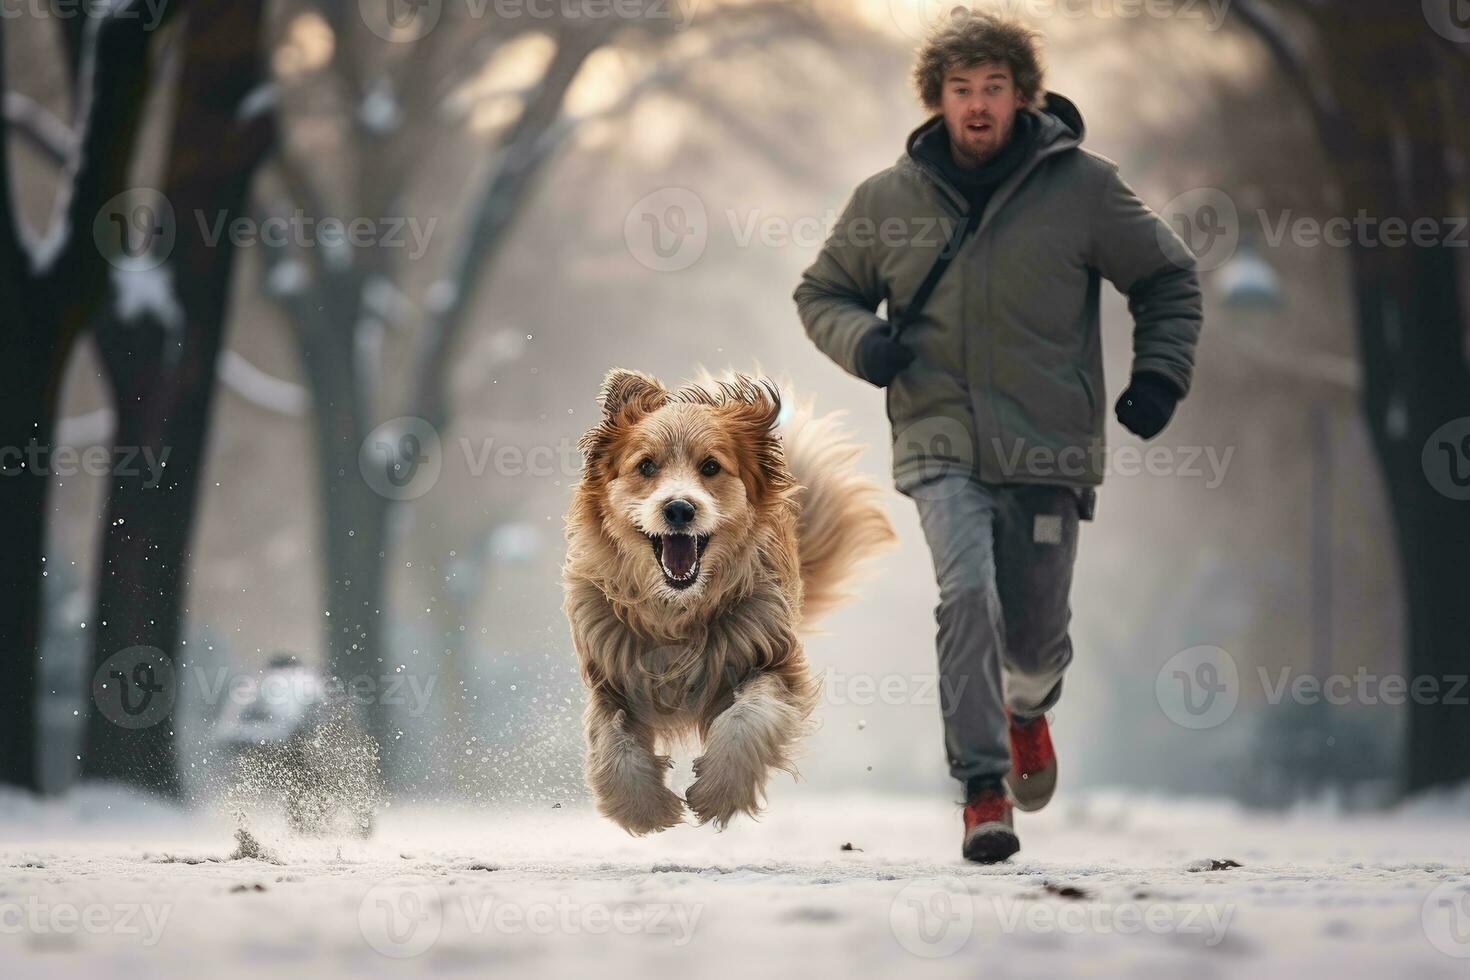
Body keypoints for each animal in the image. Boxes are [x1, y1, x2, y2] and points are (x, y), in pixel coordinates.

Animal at [558, 370, 887, 834]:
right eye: (646, 465)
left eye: (711, 466)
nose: (679, 508)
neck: (678, 613)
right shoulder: (611, 675)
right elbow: (612, 740)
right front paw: (641, 807)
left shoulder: (772, 655)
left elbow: (748, 717)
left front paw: (718, 792)